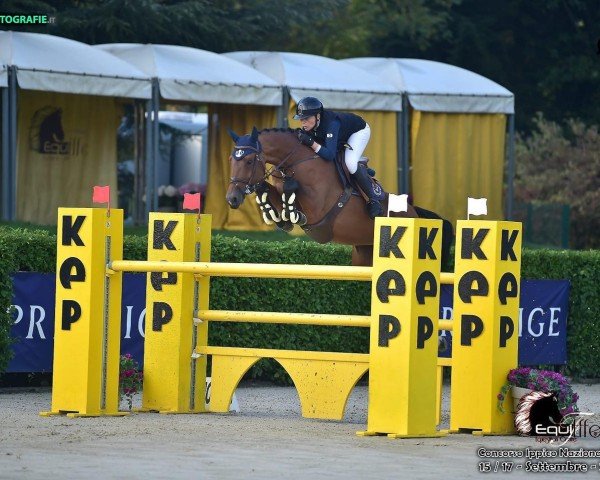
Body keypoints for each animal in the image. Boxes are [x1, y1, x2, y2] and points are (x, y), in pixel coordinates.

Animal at [227, 125, 452, 268]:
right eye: (231, 159)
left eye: (248, 161)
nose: (232, 199)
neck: (296, 162)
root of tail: (416, 214)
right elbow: (274, 200)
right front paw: (270, 209)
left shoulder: (317, 209)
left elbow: (294, 197)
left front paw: (293, 212)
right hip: (364, 255)